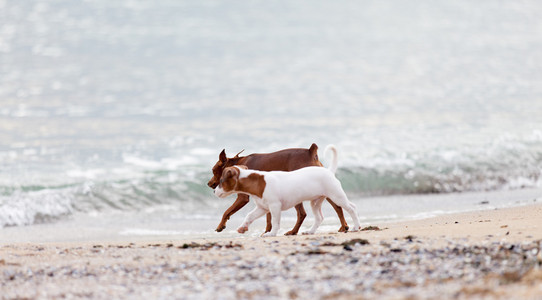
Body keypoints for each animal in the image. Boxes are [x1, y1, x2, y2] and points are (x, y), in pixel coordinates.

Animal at [216, 145, 362, 237]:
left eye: (221, 181)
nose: (214, 191)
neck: (258, 181)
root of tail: (329, 171)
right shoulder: (262, 208)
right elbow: (249, 216)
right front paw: (243, 227)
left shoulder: (275, 207)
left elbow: (275, 222)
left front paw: (272, 234)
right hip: (316, 202)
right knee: (320, 217)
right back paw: (310, 232)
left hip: (336, 196)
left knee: (351, 208)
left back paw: (356, 227)